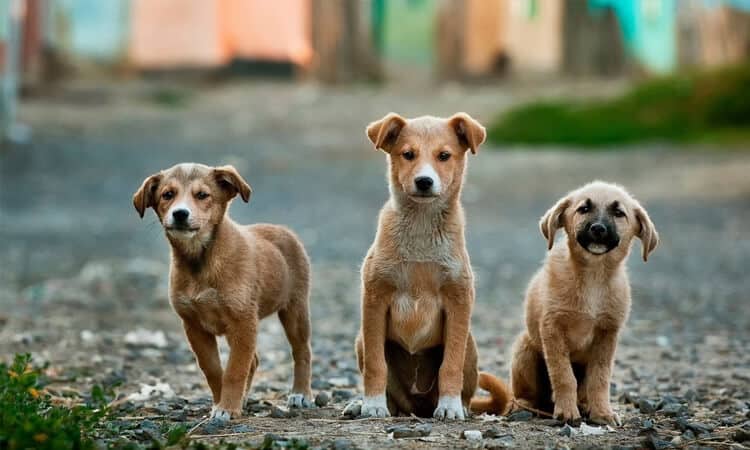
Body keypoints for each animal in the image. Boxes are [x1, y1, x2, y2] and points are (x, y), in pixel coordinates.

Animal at [134, 163, 312, 420]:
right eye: (168, 195)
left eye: (202, 195)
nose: (180, 214)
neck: (201, 261)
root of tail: (283, 229)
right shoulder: (194, 326)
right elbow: (214, 369)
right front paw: (222, 403)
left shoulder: (243, 321)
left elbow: (235, 370)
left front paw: (227, 407)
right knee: (254, 360)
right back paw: (245, 399)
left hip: (295, 310)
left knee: (302, 351)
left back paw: (301, 393)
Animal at [350, 110, 508, 420]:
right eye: (408, 154)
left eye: (444, 156)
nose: (424, 181)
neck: (421, 228)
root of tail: (418, 407)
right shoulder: (374, 298)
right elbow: (376, 364)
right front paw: (372, 404)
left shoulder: (459, 300)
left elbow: (451, 365)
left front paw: (449, 406)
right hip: (361, 339)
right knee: (394, 398)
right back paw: (364, 405)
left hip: (471, 344)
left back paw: (459, 405)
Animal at [512, 180, 656, 426]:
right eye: (584, 209)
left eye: (619, 213)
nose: (598, 228)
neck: (593, 277)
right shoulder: (552, 328)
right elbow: (563, 375)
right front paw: (567, 412)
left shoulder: (607, 334)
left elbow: (600, 378)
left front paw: (602, 412)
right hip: (524, 349)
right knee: (526, 395)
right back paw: (528, 405)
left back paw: (586, 405)